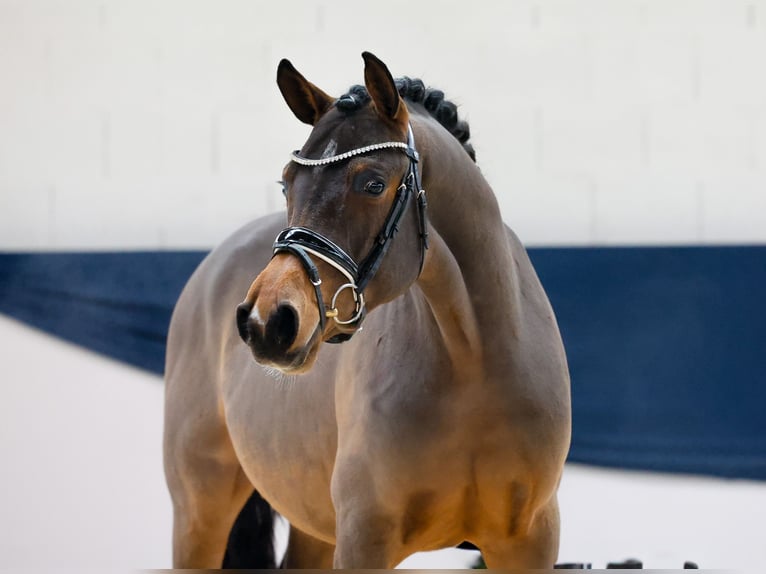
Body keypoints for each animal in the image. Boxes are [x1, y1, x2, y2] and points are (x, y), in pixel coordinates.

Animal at [165, 50, 572, 572]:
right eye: (287, 183)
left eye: (374, 183)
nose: (267, 321)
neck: (474, 359)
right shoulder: (365, 540)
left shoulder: (529, 542)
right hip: (199, 509)